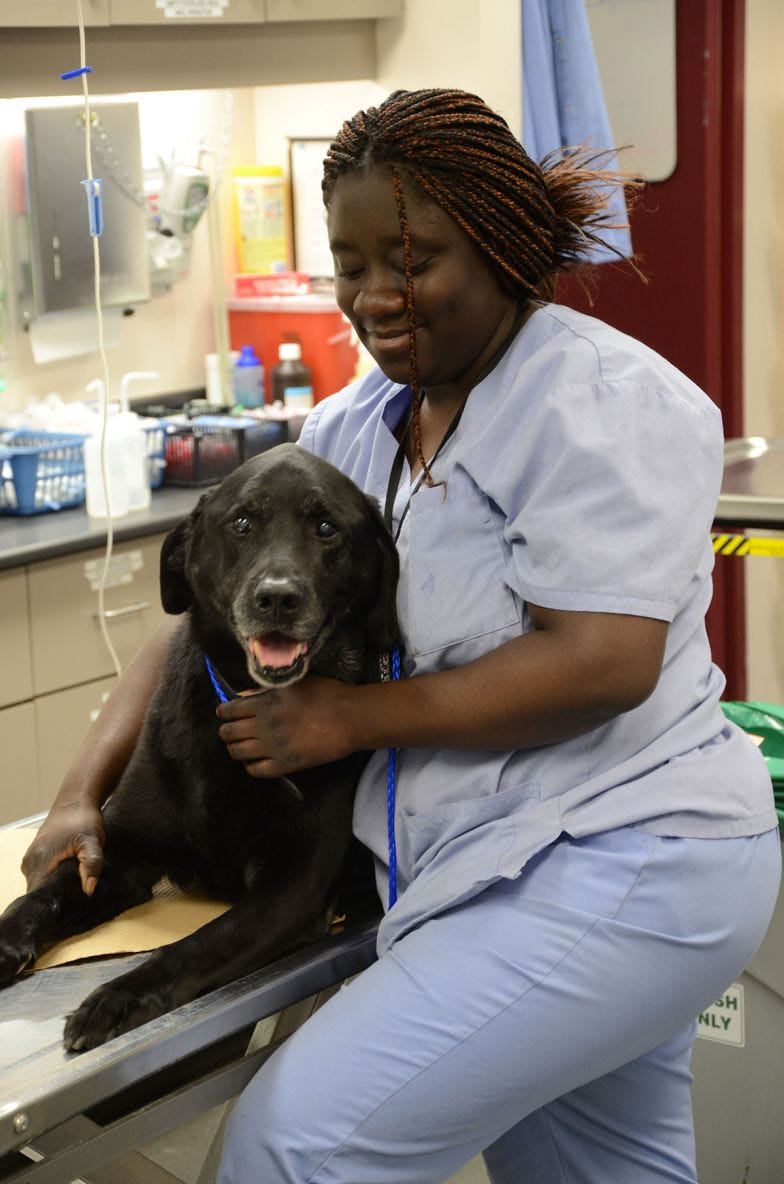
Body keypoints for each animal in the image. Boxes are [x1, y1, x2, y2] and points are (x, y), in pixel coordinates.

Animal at [0, 447, 400, 1051]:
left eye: (327, 528)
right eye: (242, 523)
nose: (277, 598)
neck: (236, 702)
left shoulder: (291, 890)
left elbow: (196, 945)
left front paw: (116, 997)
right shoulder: (119, 855)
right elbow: (44, 895)